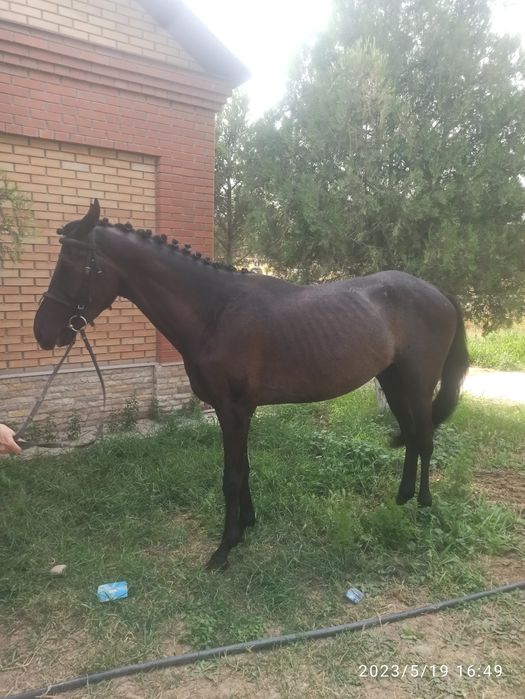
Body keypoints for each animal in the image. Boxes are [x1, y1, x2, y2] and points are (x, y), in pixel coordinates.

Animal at [34, 200, 469, 569]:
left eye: (72, 262)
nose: (43, 332)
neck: (215, 311)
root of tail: (439, 292)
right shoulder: (237, 412)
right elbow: (243, 468)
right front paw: (246, 525)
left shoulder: (233, 409)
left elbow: (231, 476)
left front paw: (224, 549)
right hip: (393, 382)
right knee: (411, 435)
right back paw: (402, 498)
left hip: (418, 384)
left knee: (424, 438)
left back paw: (423, 505)